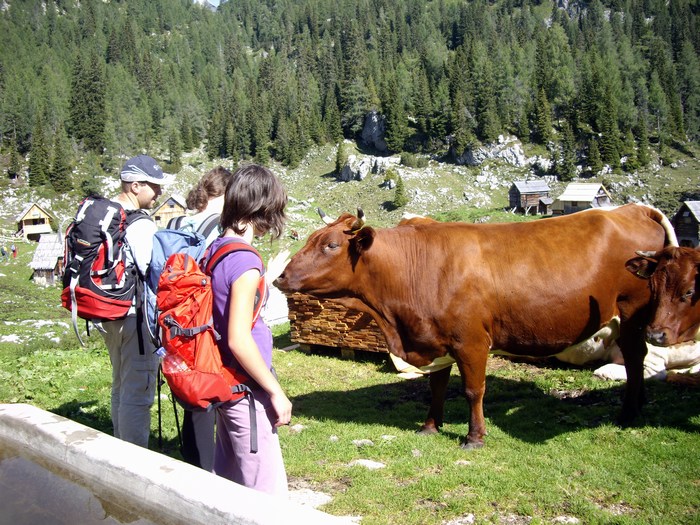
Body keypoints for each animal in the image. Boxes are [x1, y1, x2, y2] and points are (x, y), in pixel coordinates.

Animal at [276, 203, 676, 448]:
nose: (281, 277)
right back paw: (638, 404)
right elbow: (436, 387)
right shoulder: (434, 338)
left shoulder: (471, 341)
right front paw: (430, 426)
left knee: (635, 355)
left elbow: (473, 390)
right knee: (637, 357)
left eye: (330, 245)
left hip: (632, 312)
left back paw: (629, 411)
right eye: (310, 239)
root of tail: (633, 208)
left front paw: (474, 436)